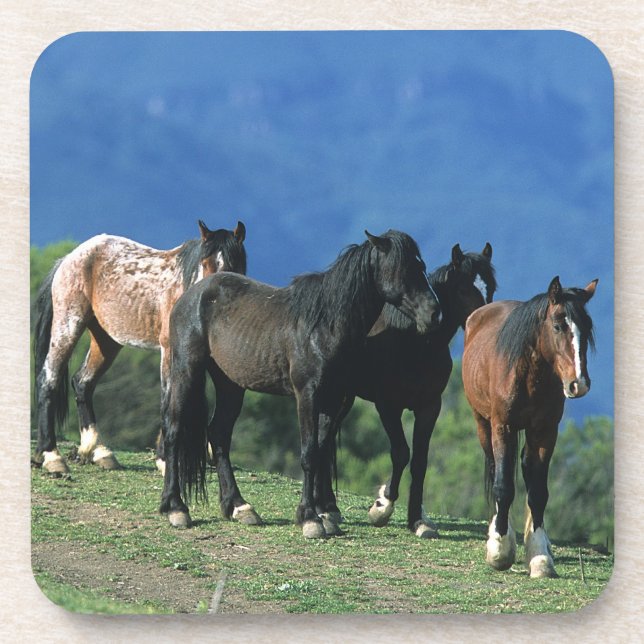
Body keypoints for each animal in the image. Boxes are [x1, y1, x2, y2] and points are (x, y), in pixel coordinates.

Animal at [32, 220, 247, 476]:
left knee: (83, 383)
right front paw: (165, 460)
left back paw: (99, 452)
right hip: (68, 325)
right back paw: (51, 456)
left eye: (233, 266)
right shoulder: (169, 351)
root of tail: (68, 258)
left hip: (106, 340)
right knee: (49, 379)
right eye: (204, 264)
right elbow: (169, 401)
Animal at [159, 229, 442, 538]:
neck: (324, 326)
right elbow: (308, 454)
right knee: (174, 429)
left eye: (421, 266)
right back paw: (175, 508)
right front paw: (310, 519)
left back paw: (238, 507)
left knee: (218, 434)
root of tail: (191, 295)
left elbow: (320, 451)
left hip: (230, 385)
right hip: (186, 370)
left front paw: (323, 515)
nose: (433, 313)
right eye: (403, 269)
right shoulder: (308, 395)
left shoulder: (333, 398)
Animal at [313, 243, 496, 538]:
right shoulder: (388, 406)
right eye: (463, 289)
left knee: (327, 439)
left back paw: (330, 505)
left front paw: (417, 520)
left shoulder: (430, 407)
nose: (484, 322)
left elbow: (420, 461)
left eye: (490, 288)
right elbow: (400, 453)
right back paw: (324, 507)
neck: (414, 343)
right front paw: (382, 506)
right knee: (322, 438)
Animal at [461, 276, 597, 577]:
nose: (578, 384)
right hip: (482, 424)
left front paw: (539, 556)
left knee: (525, 468)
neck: (529, 375)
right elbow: (503, 485)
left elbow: (537, 492)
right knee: (495, 468)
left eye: (587, 327)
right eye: (558, 325)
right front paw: (500, 549)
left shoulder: (545, 431)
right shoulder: (503, 427)